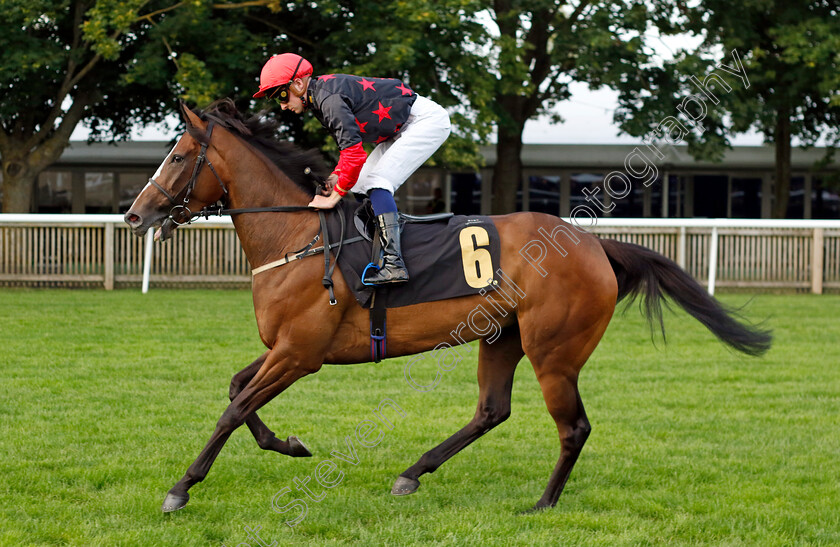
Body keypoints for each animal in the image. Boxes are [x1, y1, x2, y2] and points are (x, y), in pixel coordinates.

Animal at [121, 100, 772, 516]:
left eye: (177, 156)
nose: (134, 214)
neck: (296, 237)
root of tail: (592, 243)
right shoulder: (285, 349)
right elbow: (238, 391)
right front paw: (289, 444)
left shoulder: (300, 354)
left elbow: (232, 410)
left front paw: (181, 488)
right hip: (502, 337)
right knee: (491, 410)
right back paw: (412, 473)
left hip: (554, 351)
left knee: (573, 426)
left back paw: (542, 504)